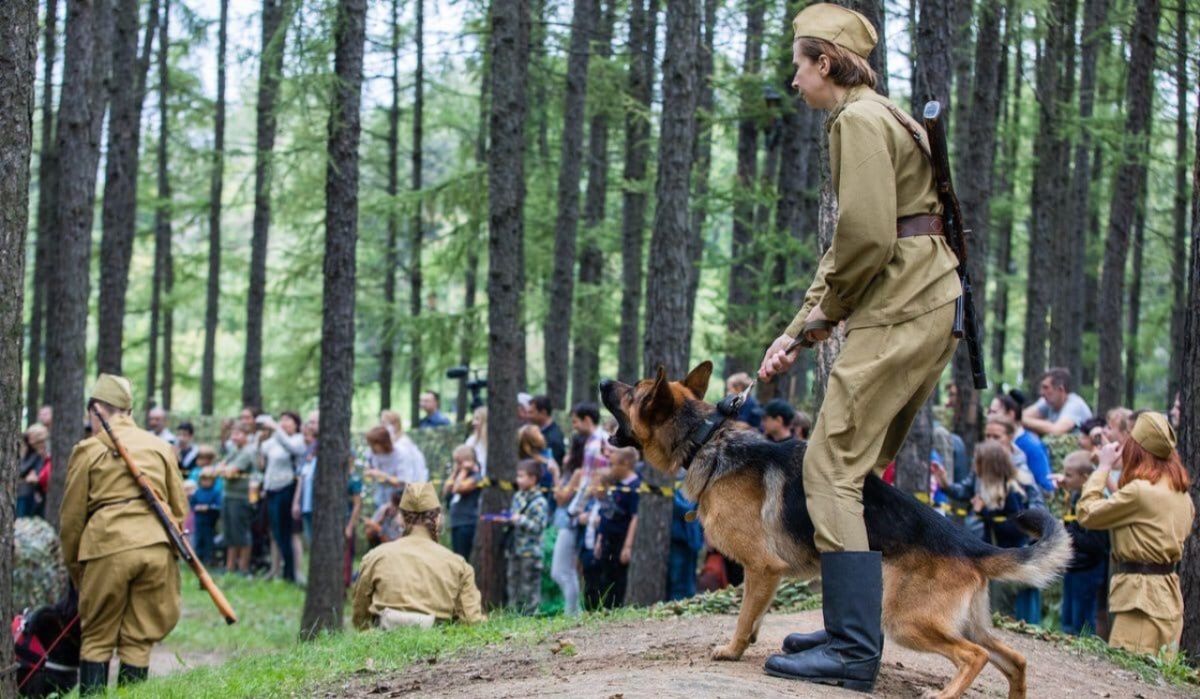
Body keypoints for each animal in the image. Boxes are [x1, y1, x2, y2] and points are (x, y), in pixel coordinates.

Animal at [597, 365, 1070, 696]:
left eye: (633, 391)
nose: (602, 380)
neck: (706, 438)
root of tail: (971, 546)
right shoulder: (766, 576)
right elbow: (755, 612)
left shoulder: (762, 568)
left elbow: (744, 615)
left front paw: (732, 651)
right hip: (966, 623)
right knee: (1014, 659)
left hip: (907, 620)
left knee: (974, 657)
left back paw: (942, 694)